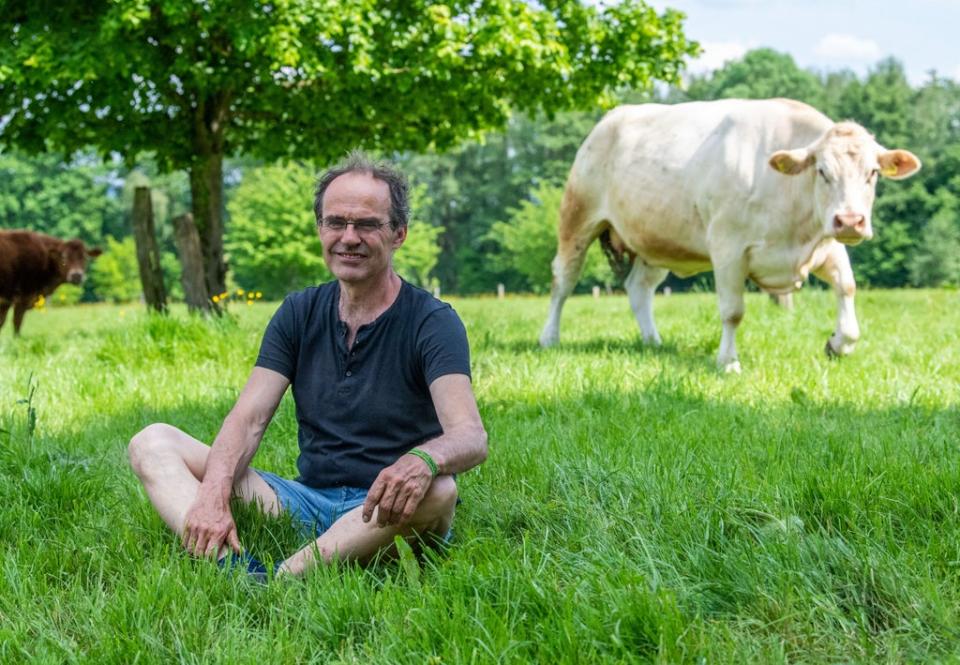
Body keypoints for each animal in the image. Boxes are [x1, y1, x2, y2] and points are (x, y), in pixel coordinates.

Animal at [540, 97, 924, 374]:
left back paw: (653, 341)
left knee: (639, 288)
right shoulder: (728, 248)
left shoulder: (824, 245)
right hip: (578, 217)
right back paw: (549, 337)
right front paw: (728, 362)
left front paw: (838, 344)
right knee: (563, 280)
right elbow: (732, 311)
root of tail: (611, 118)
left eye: (872, 173)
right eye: (822, 171)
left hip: (657, 240)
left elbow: (847, 287)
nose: (849, 221)